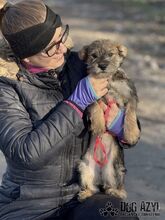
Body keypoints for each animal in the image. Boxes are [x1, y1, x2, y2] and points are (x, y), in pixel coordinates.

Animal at [78, 39, 140, 201]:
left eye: (111, 54)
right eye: (93, 55)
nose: (102, 65)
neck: (109, 79)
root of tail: (100, 175)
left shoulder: (130, 95)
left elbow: (130, 114)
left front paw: (131, 133)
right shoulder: (93, 91)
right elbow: (94, 104)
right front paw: (99, 123)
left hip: (115, 170)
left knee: (115, 187)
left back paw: (116, 192)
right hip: (85, 168)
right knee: (94, 188)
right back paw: (85, 193)